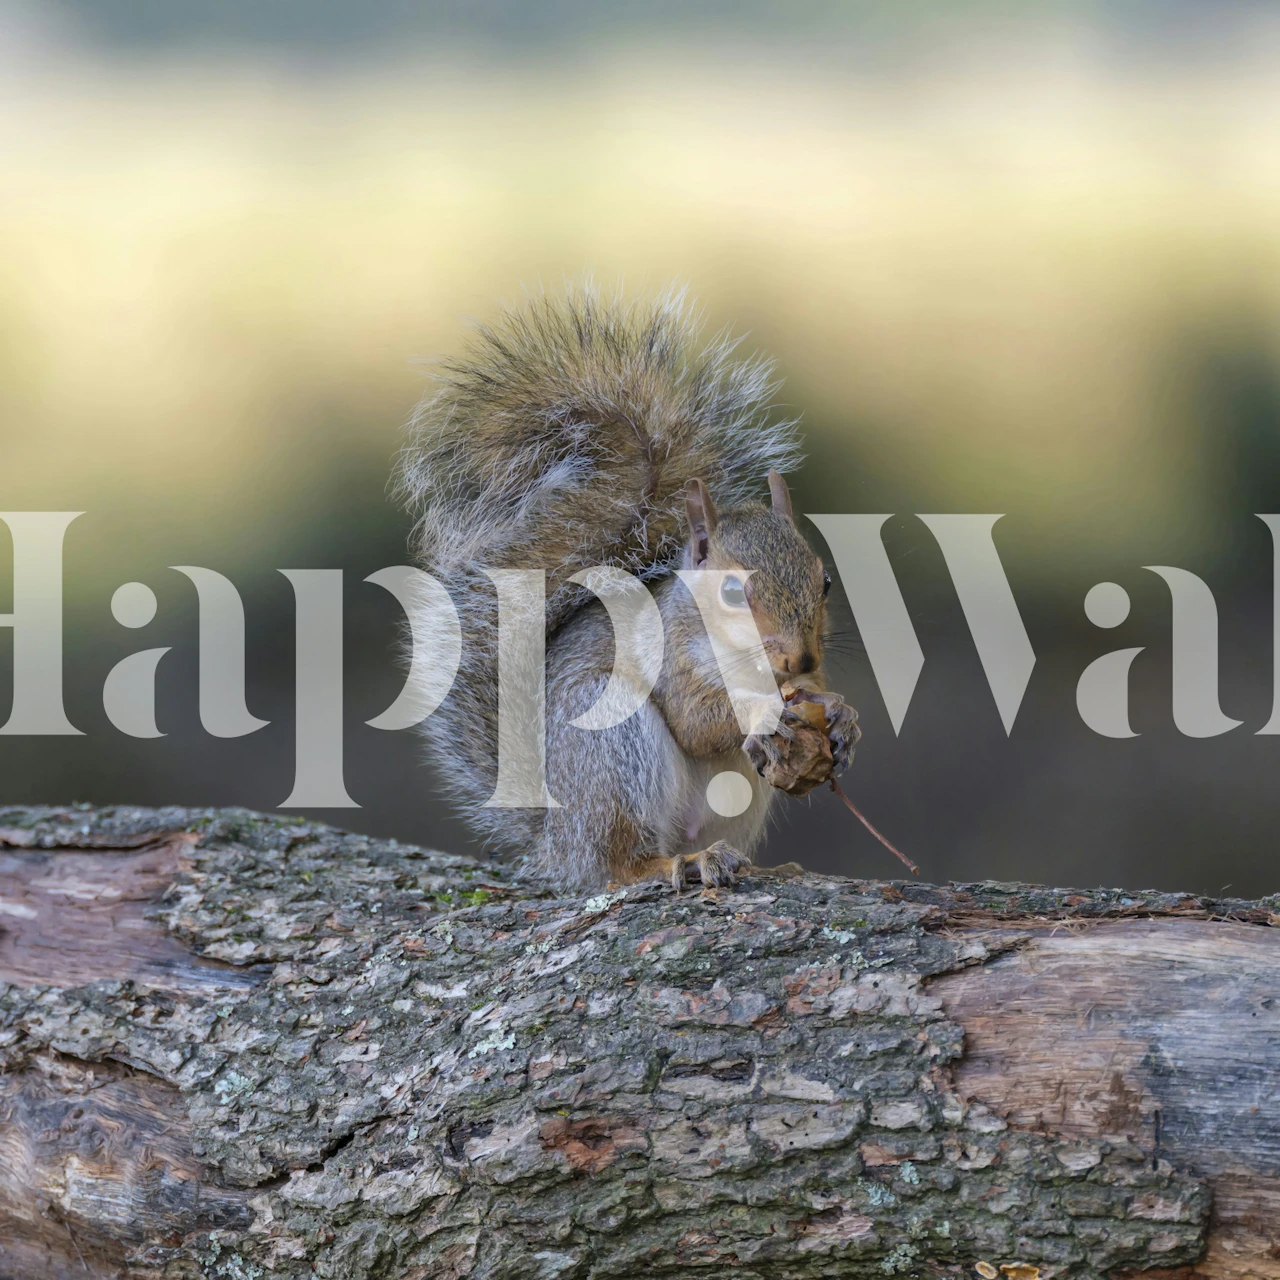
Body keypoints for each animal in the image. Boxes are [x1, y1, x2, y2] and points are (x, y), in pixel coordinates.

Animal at [396, 287, 859, 891]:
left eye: (824, 581)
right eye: (732, 593)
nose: (800, 659)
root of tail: (558, 847)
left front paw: (842, 716)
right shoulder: (668, 656)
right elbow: (695, 721)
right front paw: (769, 708)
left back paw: (749, 862)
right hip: (612, 744)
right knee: (620, 863)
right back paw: (674, 862)